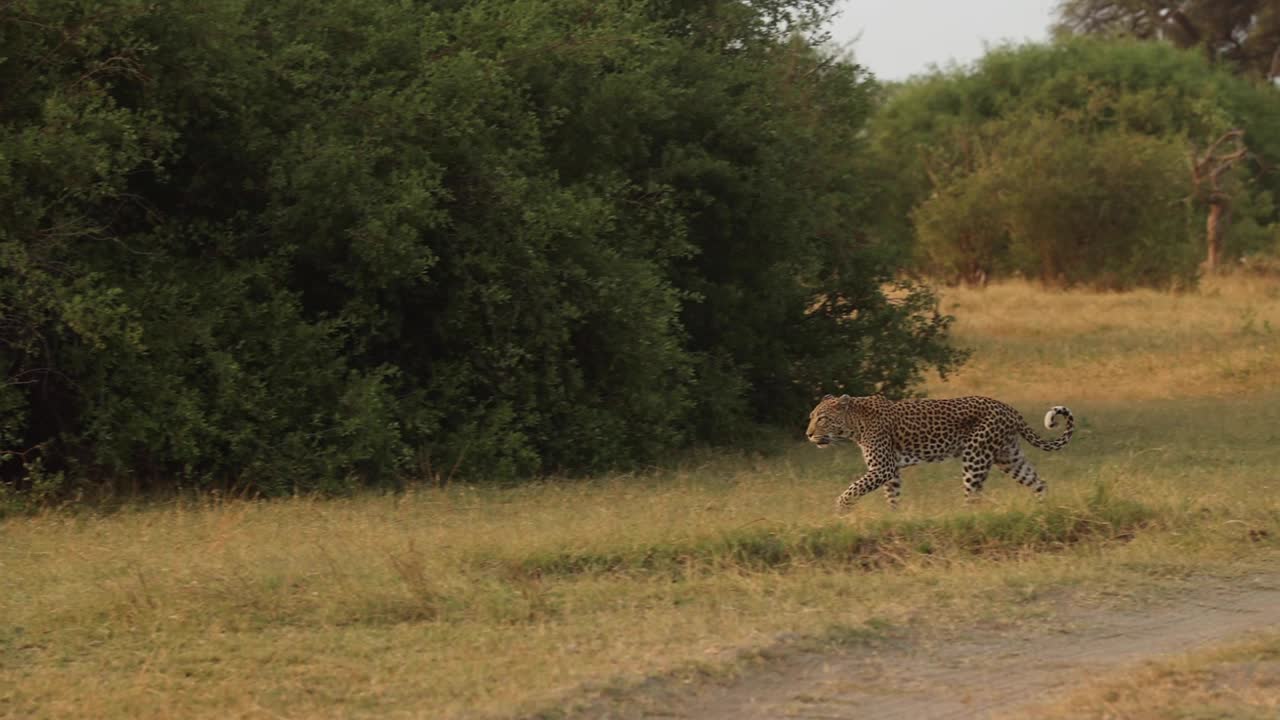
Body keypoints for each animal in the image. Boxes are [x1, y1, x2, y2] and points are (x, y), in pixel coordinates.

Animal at [806, 394, 1074, 511]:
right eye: (811, 417)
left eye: (822, 418)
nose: (808, 434)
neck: (855, 424)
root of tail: (1008, 408)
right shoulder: (890, 472)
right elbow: (891, 496)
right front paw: (893, 516)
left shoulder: (883, 468)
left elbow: (853, 489)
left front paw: (841, 509)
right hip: (1008, 457)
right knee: (1038, 482)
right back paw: (1041, 510)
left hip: (975, 456)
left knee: (972, 496)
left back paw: (964, 517)